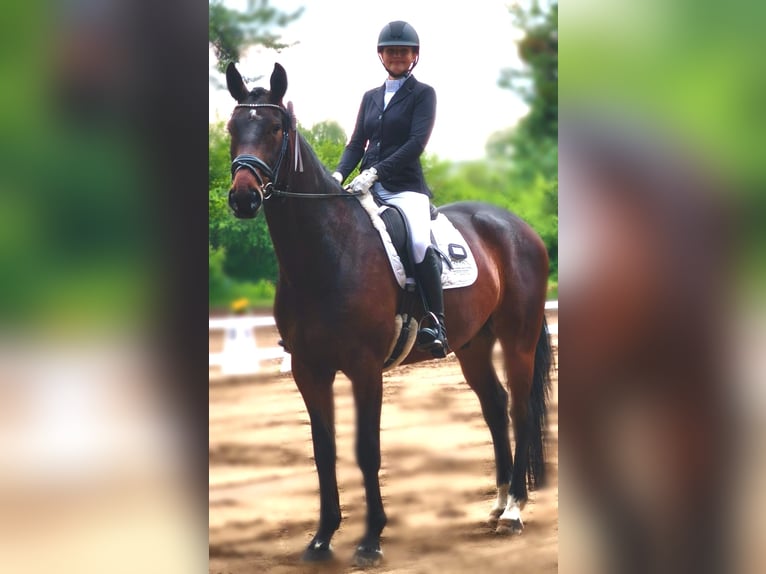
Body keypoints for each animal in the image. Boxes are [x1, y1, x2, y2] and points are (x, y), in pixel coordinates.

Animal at [224, 62, 553, 567]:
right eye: (233, 127)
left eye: (277, 128)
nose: (243, 198)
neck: (326, 251)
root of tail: (518, 227)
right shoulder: (309, 369)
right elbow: (324, 450)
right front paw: (321, 539)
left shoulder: (365, 369)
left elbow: (366, 450)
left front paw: (370, 540)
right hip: (473, 344)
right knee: (495, 407)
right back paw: (498, 504)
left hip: (519, 339)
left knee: (517, 408)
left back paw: (515, 510)